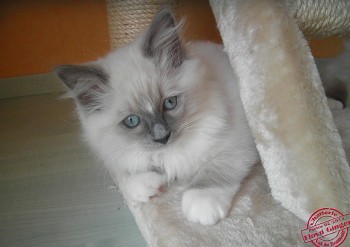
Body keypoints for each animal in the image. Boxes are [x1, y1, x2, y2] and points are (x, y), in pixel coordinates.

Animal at [54, 9, 258, 226]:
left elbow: (215, 169)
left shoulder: (237, 142)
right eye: (132, 121)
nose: (163, 137)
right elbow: (136, 172)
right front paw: (146, 184)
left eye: (170, 103)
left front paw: (201, 203)